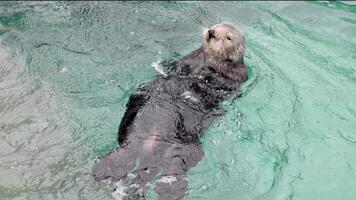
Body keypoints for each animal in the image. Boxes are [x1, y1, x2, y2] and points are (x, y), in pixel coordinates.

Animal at [92, 22, 248, 199]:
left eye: (228, 37)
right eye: (217, 25)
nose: (212, 32)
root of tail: (148, 155)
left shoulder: (234, 77)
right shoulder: (191, 58)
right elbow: (180, 66)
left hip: (185, 152)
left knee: (172, 171)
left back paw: (170, 190)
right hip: (132, 137)